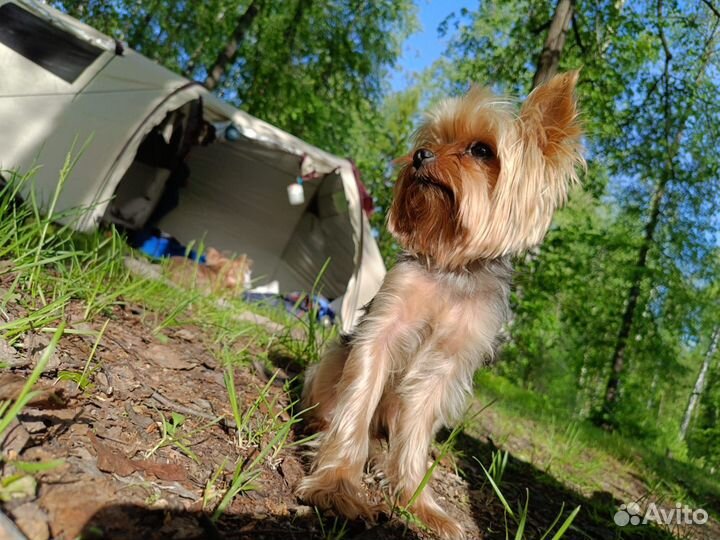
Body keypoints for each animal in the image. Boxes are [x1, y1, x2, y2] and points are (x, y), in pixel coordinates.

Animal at [298, 73, 584, 540]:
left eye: (482, 150)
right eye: (431, 141)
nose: (420, 156)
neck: (452, 265)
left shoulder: (445, 365)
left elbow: (415, 433)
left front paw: (419, 502)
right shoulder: (382, 330)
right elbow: (356, 403)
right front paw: (337, 486)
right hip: (329, 363)